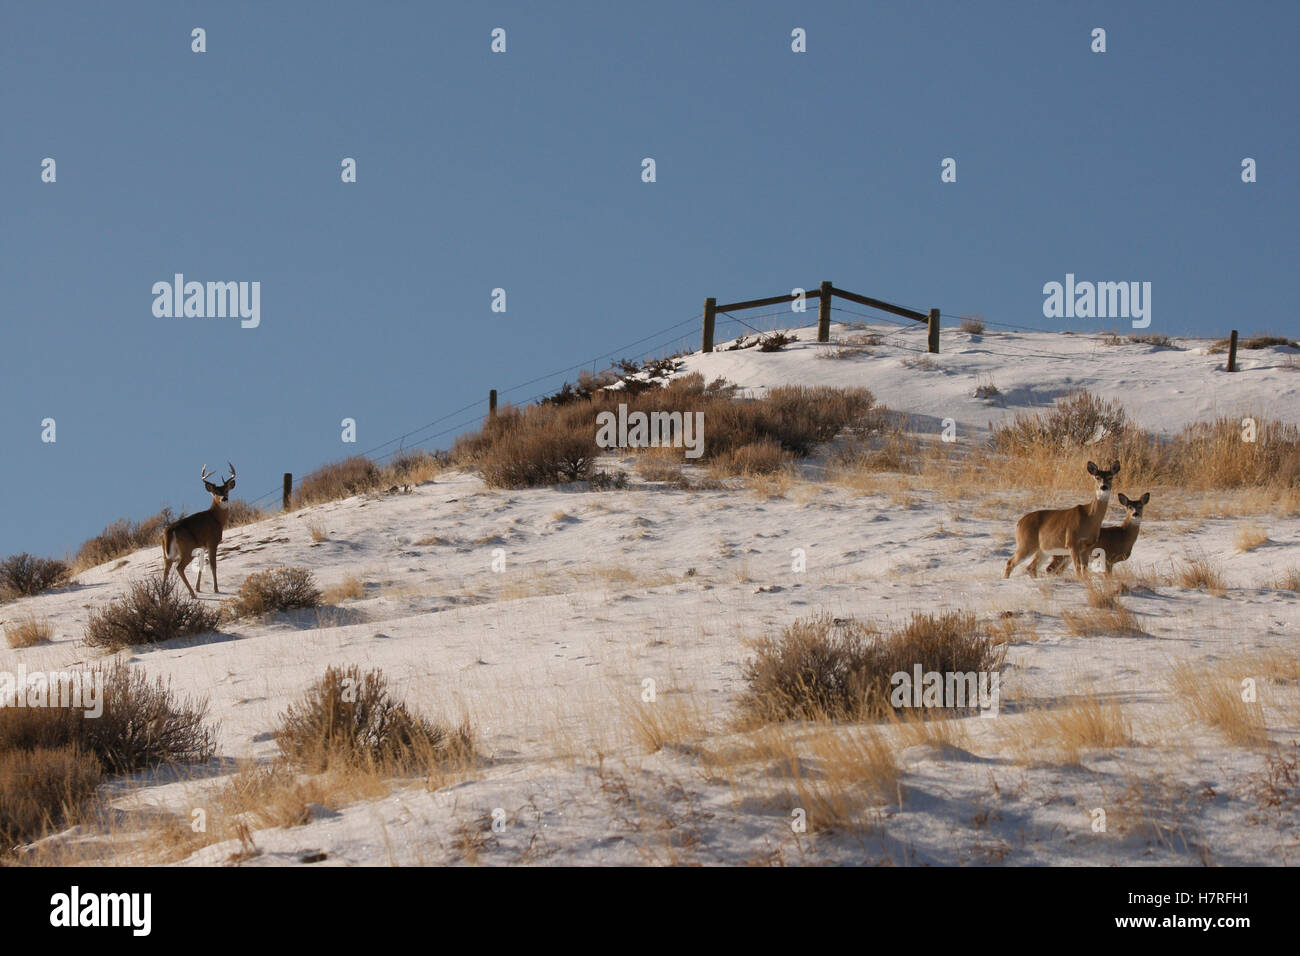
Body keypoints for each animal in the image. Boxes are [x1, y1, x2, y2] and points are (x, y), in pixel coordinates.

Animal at [161, 463, 236, 598]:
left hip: (166, 553)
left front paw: (198, 588)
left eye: (226, 490)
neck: (216, 518)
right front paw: (216, 589)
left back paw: (164, 595)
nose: (224, 498)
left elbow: (201, 565)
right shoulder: (212, 542)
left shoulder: (202, 547)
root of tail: (169, 530)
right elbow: (213, 565)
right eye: (215, 492)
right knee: (179, 568)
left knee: (166, 569)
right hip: (187, 548)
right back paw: (192, 594)